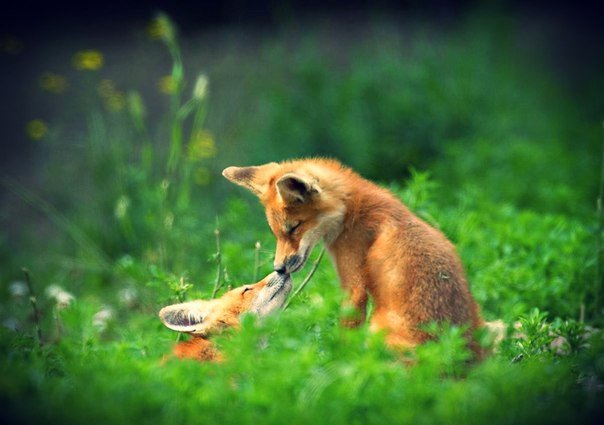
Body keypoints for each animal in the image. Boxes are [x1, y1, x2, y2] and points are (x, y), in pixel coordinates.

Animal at [223, 157, 486, 352]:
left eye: (294, 228)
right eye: (276, 232)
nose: (279, 268)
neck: (353, 209)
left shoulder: (353, 277)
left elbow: (347, 329)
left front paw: (339, 360)